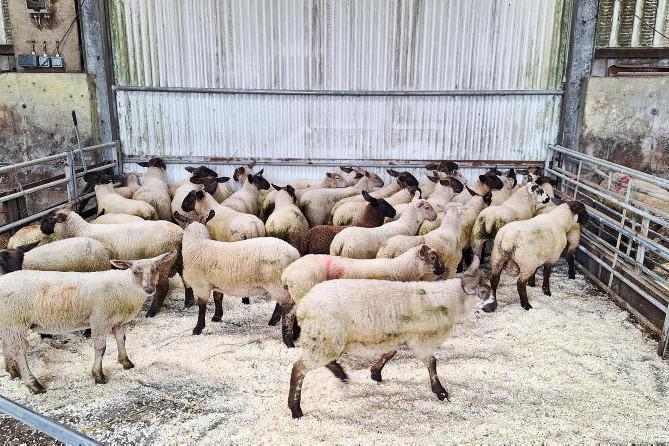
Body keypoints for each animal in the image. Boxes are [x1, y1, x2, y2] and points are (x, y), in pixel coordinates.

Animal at [0, 251, 176, 394]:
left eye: (156, 269)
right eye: (135, 271)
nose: (149, 289)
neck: (124, 287)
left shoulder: (117, 320)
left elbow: (121, 339)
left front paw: (126, 362)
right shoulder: (100, 319)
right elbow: (101, 348)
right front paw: (98, 375)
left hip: (7, 321)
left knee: (7, 345)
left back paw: (13, 371)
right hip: (15, 320)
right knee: (19, 351)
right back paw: (33, 384)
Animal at [40, 208, 186, 317]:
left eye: (51, 219)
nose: (41, 229)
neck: (80, 231)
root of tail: (180, 232)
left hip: (162, 261)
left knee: (162, 287)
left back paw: (152, 311)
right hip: (178, 258)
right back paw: (187, 302)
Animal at [175, 212, 299, 345]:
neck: (197, 244)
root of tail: (295, 254)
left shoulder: (201, 286)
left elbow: (202, 307)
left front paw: (198, 328)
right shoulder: (216, 283)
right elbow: (218, 298)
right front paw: (217, 316)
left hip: (277, 284)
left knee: (289, 308)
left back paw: (286, 335)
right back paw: (291, 331)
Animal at [287, 272, 496, 418]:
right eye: (483, 292)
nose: (494, 307)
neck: (450, 301)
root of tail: (303, 305)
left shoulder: (399, 336)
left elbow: (390, 353)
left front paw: (375, 373)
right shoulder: (420, 340)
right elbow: (432, 362)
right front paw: (440, 392)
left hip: (327, 339)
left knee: (325, 361)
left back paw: (341, 375)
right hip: (324, 338)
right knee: (299, 369)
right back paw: (295, 409)